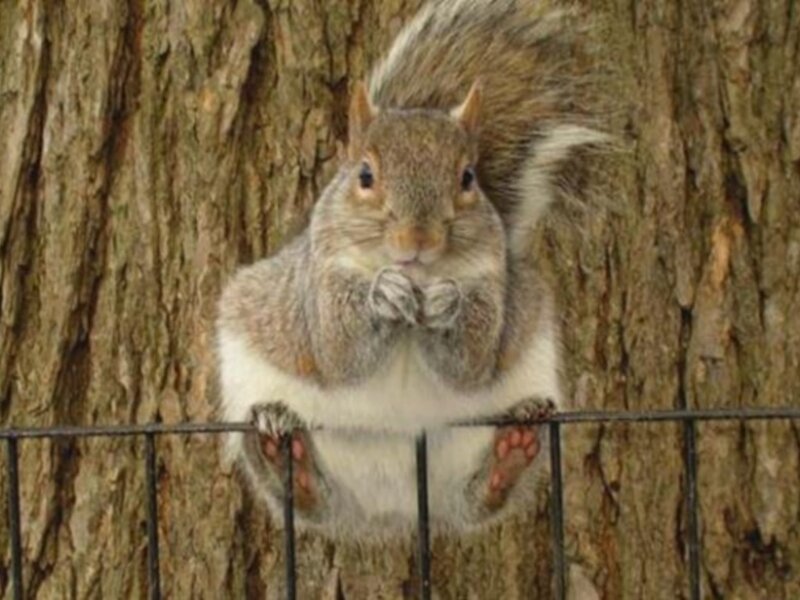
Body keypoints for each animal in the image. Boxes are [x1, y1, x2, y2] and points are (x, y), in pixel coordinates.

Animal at [216, 0, 608, 536]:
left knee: (478, 498)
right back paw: (282, 452)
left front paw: (447, 304)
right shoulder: (319, 284)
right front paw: (381, 295)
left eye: (468, 178)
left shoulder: (492, 285)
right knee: (307, 497)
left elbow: (469, 365)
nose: (418, 241)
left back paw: (513, 448)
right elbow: (339, 353)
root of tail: (393, 510)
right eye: (364, 175)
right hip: (256, 396)